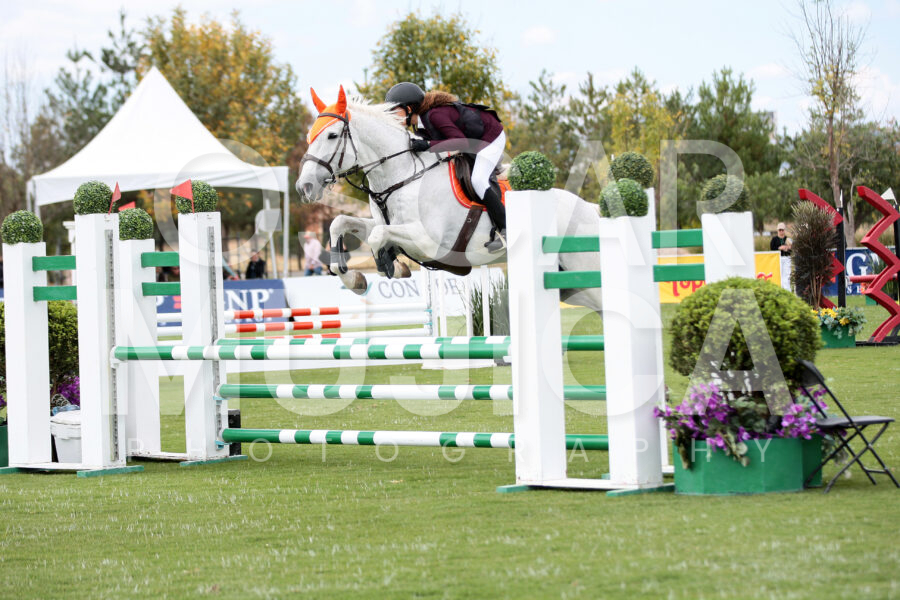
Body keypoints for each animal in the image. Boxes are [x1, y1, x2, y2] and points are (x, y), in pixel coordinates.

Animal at [297, 86, 604, 312]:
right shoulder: (389, 224)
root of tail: (591, 210)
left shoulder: (427, 242)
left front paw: (390, 265)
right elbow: (341, 223)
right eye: (309, 135)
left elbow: (377, 236)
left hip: (586, 272)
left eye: (332, 135)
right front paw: (357, 278)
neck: (402, 173)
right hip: (573, 287)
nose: (304, 187)